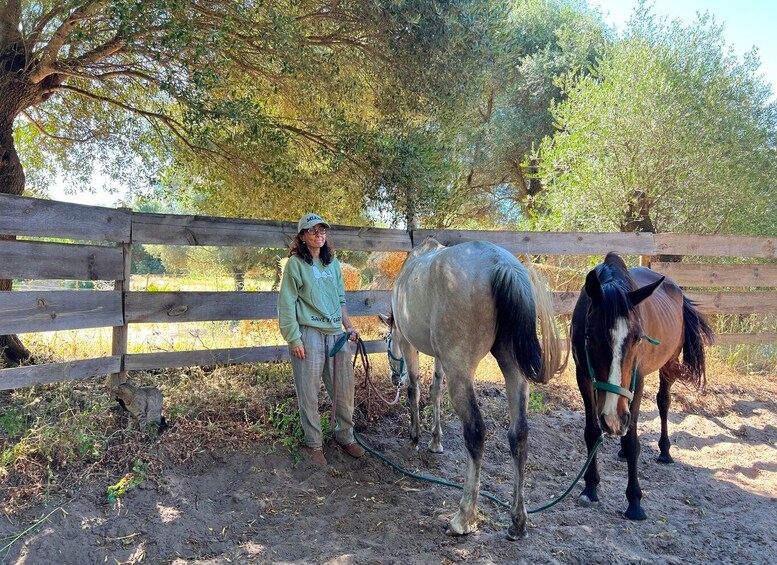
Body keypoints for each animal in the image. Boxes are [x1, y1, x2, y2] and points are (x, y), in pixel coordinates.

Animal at [381, 237, 563, 540]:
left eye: (387, 347)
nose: (394, 379)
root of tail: (501, 265)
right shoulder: (441, 358)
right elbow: (435, 392)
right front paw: (435, 440)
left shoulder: (408, 344)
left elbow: (415, 389)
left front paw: (415, 437)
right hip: (511, 366)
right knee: (519, 434)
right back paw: (517, 522)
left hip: (462, 371)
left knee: (476, 432)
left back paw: (463, 517)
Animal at [570, 252, 713, 521]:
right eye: (590, 336)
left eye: (638, 338)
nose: (613, 419)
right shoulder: (583, 375)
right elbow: (592, 432)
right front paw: (590, 487)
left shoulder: (637, 381)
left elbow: (632, 441)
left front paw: (634, 501)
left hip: (669, 364)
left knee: (663, 402)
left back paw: (664, 451)